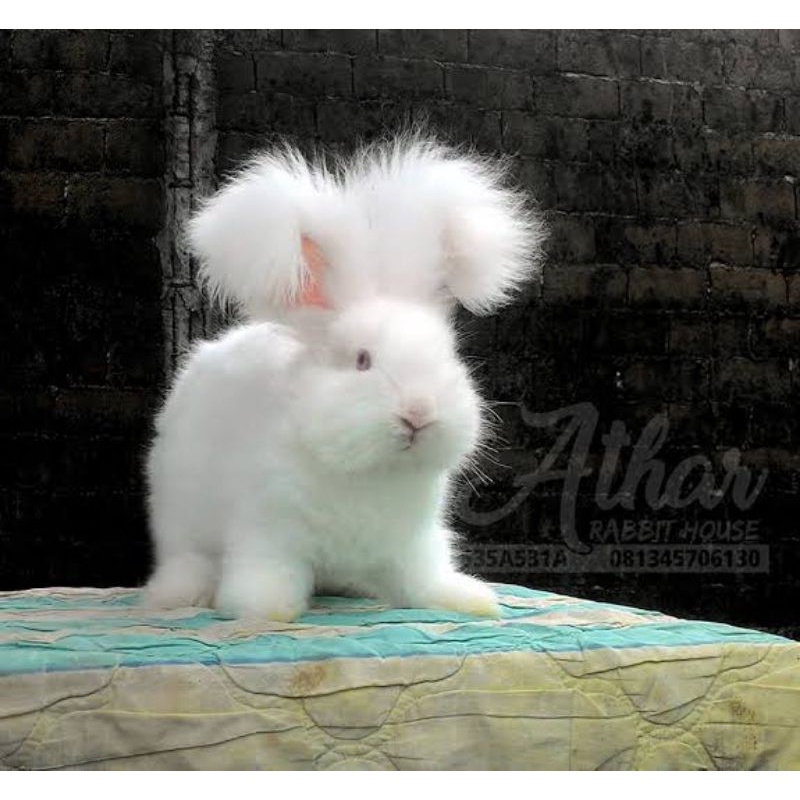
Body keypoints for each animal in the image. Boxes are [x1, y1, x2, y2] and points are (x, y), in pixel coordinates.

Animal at [143, 132, 546, 621]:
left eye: (448, 357)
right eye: (362, 360)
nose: (418, 412)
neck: (366, 469)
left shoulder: (414, 545)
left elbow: (424, 579)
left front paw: (468, 600)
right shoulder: (269, 531)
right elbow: (267, 575)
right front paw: (263, 609)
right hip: (181, 516)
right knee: (187, 559)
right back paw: (179, 593)